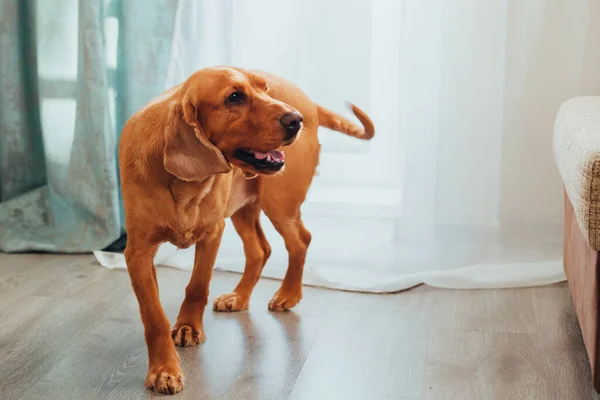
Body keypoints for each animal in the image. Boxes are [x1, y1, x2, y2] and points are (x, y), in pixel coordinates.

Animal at [119, 66, 372, 394]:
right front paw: (164, 369)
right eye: (234, 97)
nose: (296, 120)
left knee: (300, 240)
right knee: (261, 250)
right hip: (245, 209)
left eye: (265, 89)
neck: (185, 185)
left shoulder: (212, 234)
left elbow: (197, 286)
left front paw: (188, 326)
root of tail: (309, 103)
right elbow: (154, 316)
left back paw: (288, 294)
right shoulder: (138, 252)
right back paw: (240, 298)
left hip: (279, 204)